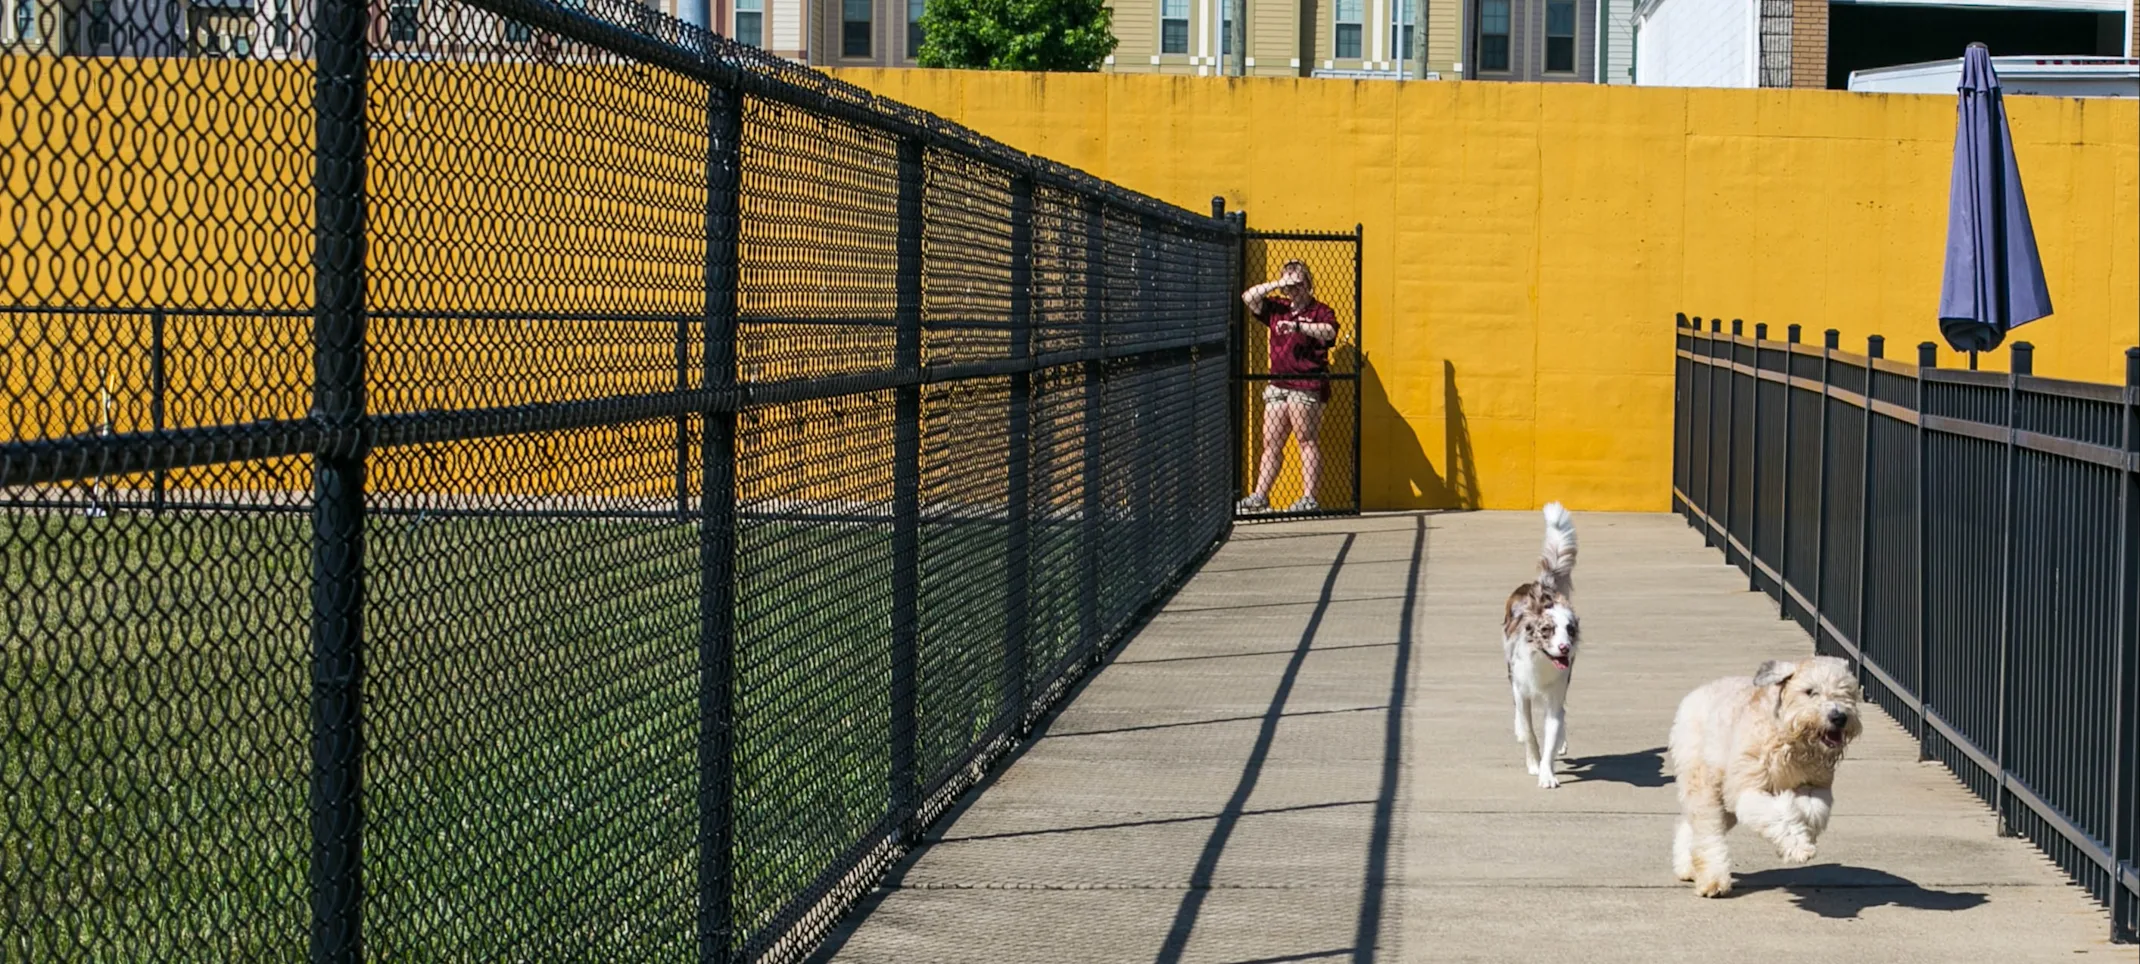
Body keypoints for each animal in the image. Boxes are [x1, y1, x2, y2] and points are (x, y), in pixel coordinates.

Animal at [1660, 655, 1866, 895]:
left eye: (1847, 691)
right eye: (1810, 691)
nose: (1839, 717)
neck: (1790, 739)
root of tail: (1693, 696)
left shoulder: (1816, 786)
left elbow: (1811, 810)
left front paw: (1802, 828)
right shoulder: (1748, 788)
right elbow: (1779, 815)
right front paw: (1798, 846)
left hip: (1725, 802)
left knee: (1688, 827)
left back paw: (1687, 867)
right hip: (1705, 785)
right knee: (1707, 831)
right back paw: (1713, 880)